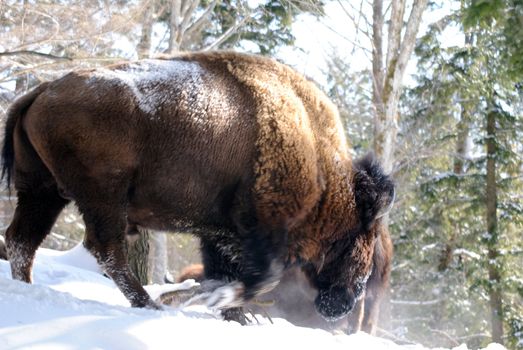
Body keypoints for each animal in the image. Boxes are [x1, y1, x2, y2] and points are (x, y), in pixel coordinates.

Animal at [1, 50, 392, 322]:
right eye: (367, 236)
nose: (345, 303)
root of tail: (40, 91)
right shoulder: (261, 232)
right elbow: (258, 278)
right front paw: (210, 301)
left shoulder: (220, 234)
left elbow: (229, 272)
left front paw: (237, 316)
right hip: (102, 196)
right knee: (104, 248)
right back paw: (149, 304)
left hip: (43, 192)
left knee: (23, 241)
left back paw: (26, 288)